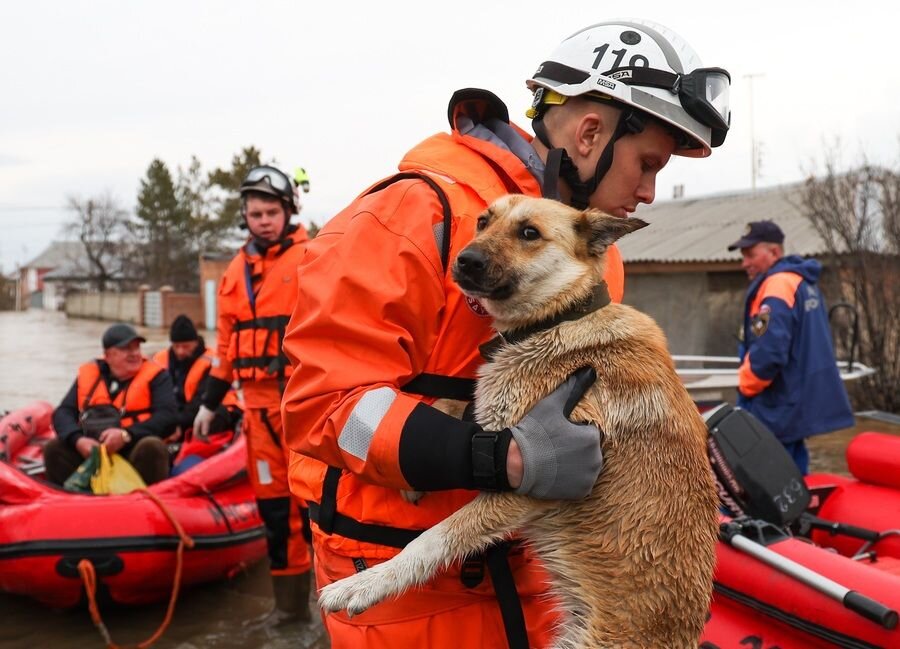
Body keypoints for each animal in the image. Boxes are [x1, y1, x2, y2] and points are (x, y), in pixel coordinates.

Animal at [316, 195, 716, 644]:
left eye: (529, 233)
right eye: (483, 221)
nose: (464, 260)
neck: (560, 317)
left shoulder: (529, 486)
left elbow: (433, 538)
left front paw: (366, 584)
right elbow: (457, 404)